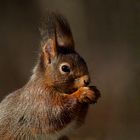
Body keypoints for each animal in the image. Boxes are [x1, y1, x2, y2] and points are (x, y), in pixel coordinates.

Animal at [0, 12, 100, 140]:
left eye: (84, 61)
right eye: (65, 68)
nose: (87, 80)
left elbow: (76, 122)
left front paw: (94, 91)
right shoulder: (40, 100)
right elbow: (56, 113)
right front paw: (81, 93)